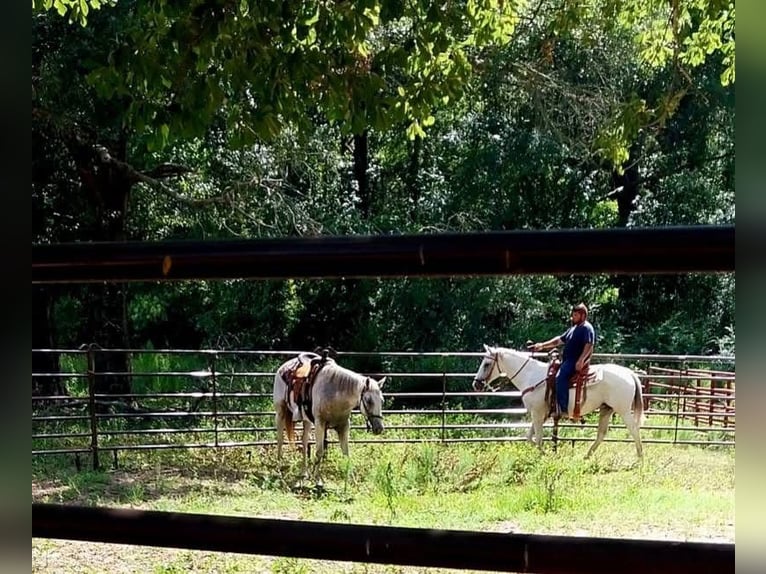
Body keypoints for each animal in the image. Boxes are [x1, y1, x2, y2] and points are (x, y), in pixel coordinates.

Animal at [272, 352, 388, 482]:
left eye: (382, 401)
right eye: (368, 400)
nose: (379, 428)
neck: (335, 393)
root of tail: (283, 368)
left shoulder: (343, 426)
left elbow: (346, 453)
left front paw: (351, 478)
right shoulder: (320, 424)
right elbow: (319, 451)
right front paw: (317, 479)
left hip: (307, 421)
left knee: (304, 441)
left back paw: (304, 472)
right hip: (280, 412)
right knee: (280, 440)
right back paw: (278, 469)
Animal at [472, 346, 644, 460]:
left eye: (486, 364)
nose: (476, 384)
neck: (531, 376)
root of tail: (629, 373)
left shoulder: (537, 413)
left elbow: (538, 438)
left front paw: (543, 457)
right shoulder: (539, 414)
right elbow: (529, 437)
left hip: (623, 410)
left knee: (634, 429)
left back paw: (640, 458)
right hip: (606, 409)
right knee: (601, 434)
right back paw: (586, 456)